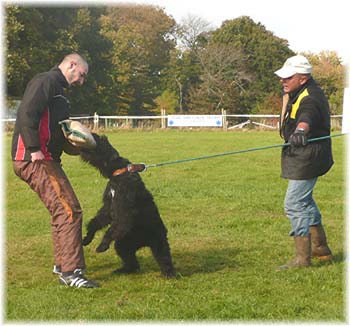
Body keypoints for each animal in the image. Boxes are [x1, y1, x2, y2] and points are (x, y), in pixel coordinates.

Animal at [80, 132, 176, 278]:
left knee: (164, 258)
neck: (119, 173)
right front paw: (87, 238)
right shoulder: (108, 207)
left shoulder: (123, 211)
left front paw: (102, 245)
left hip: (158, 243)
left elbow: (110, 229)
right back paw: (123, 270)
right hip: (123, 244)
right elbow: (96, 221)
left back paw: (169, 274)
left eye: (101, 139)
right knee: (132, 262)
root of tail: (143, 242)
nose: (93, 134)